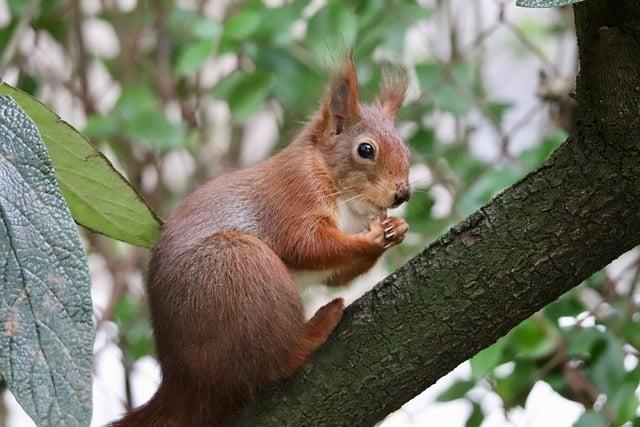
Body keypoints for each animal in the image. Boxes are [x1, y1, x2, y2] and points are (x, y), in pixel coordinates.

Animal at [109, 57, 410, 427]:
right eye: (365, 149)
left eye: (407, 147)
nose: (402, 194)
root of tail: (184, 380)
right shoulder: (292, 196)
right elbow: (306, 245)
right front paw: (373, 237)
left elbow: (334, 273)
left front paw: (396, 227)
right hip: (240, 268)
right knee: (276, 361)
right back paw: (316, 328)